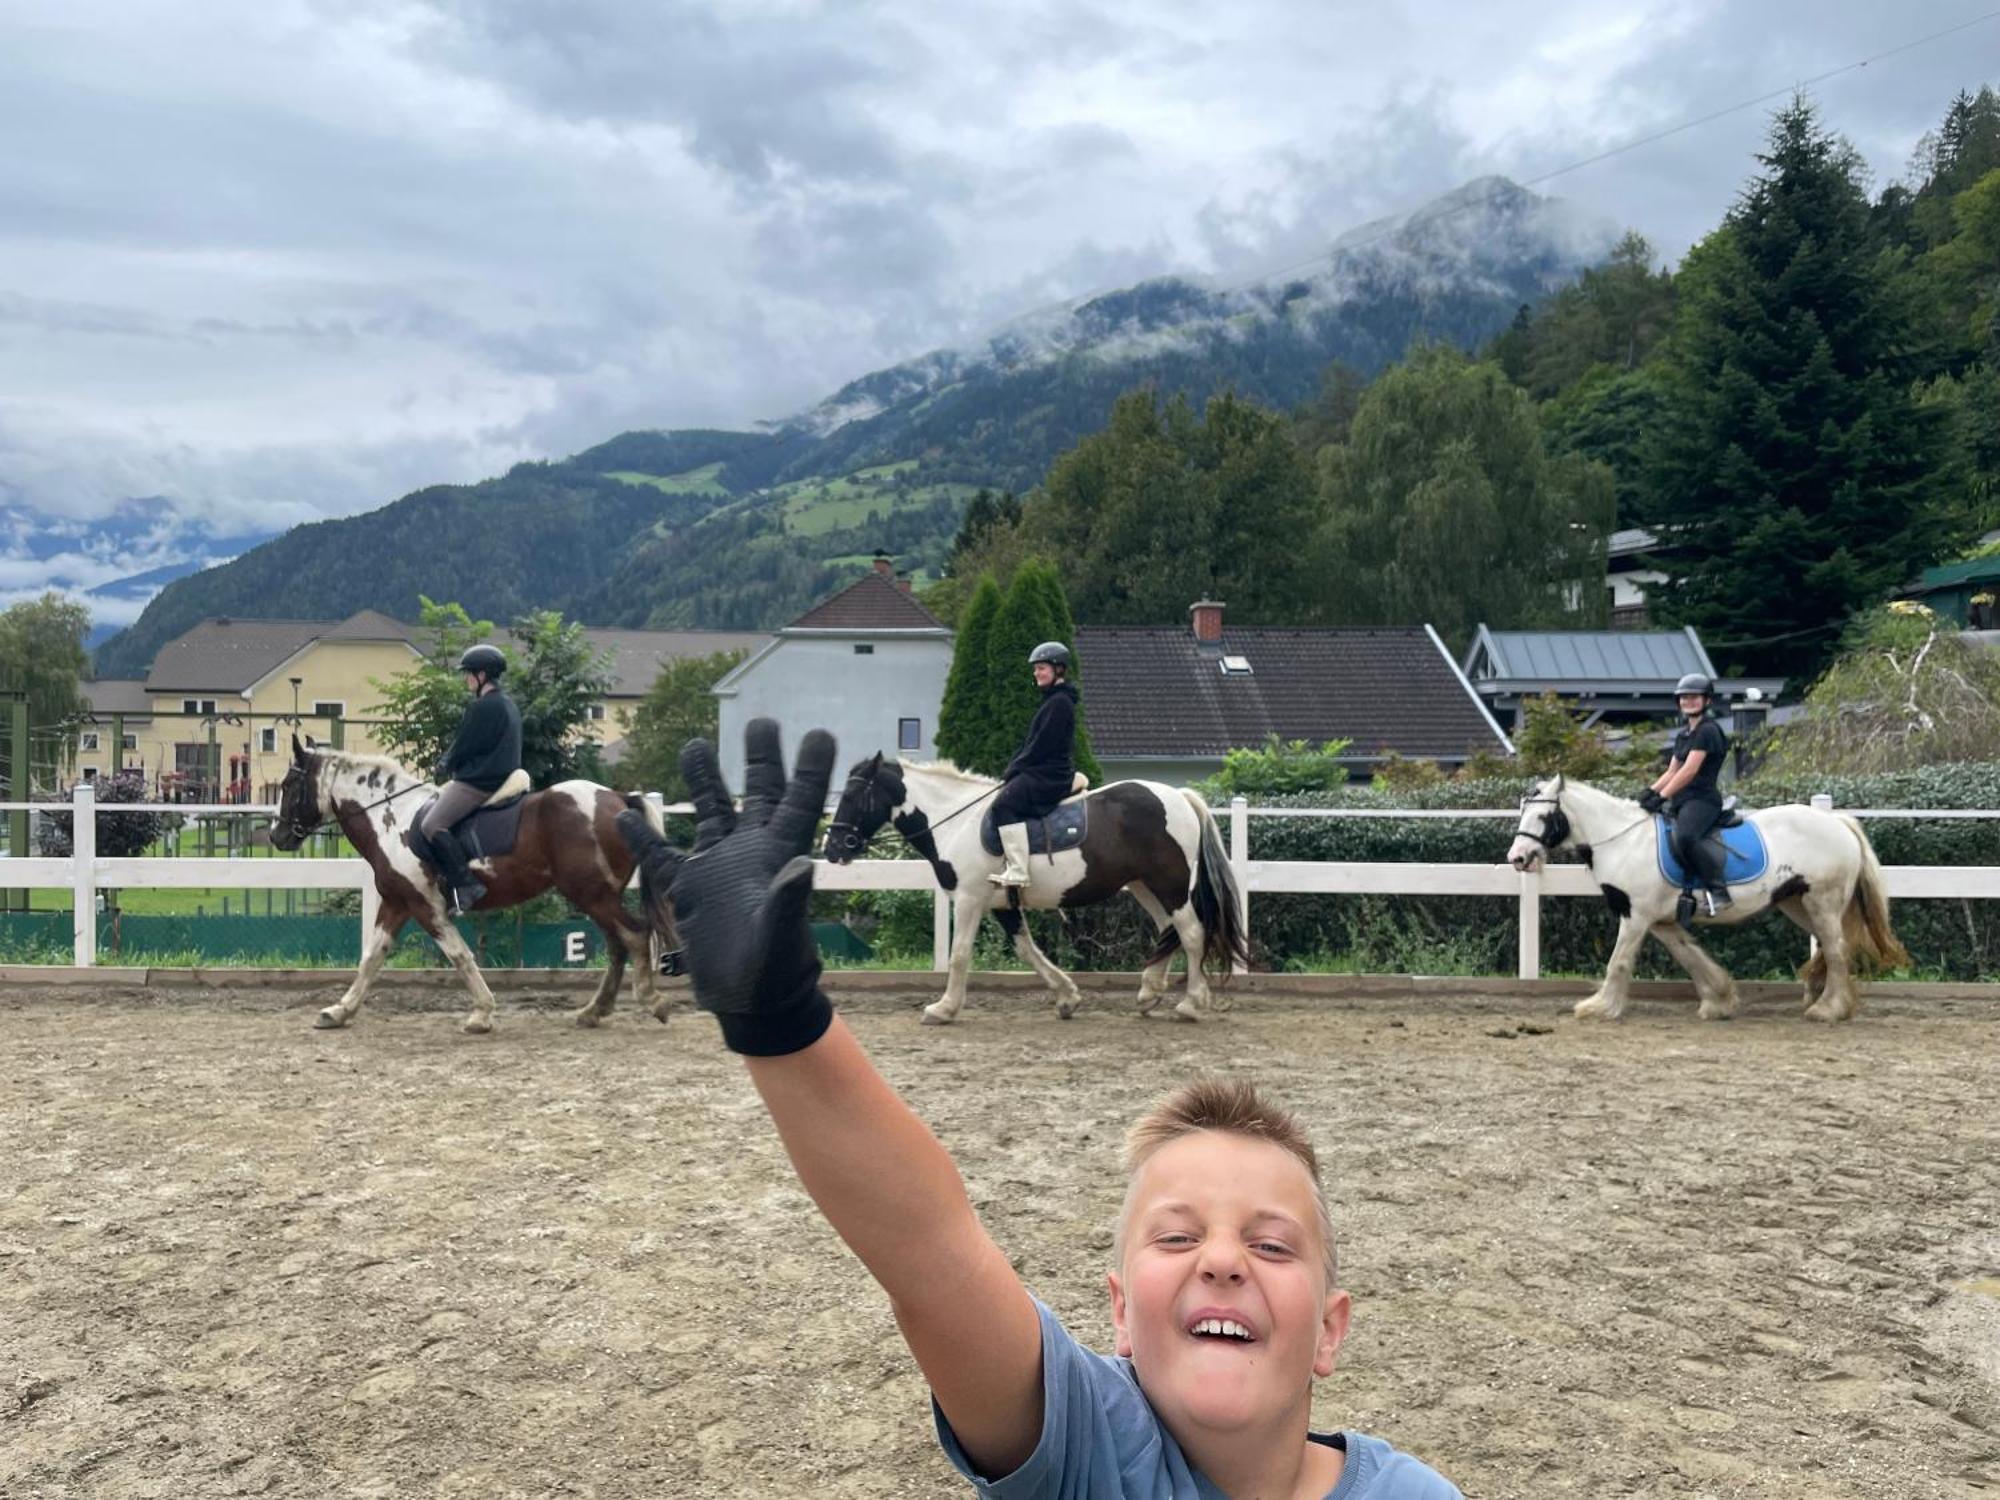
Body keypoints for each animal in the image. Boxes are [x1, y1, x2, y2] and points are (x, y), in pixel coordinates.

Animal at [820, 756, 1240, 1032]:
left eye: (854, 794)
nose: (833, 847)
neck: (957, 821)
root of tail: (1180, 797)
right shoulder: (1001, 903)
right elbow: (1027, 950)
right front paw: (1067, 997)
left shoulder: (970, 898)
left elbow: (960, 955)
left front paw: (944, 1008)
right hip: (1143, 886)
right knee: (1167, 930)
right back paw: (1149, 992)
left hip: (1169, 884)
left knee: (1190, 933)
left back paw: (1190, 1004)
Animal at [1504, 780, 1912, 1032]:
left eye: (1543, 816)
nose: (1518, 858)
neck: (1623, 841)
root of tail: (1835, 820)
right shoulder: (1660, 920)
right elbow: (1690, 955)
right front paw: (1719, 1000)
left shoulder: (1636, 915)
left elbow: (1618, 961)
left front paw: (1600, 1006)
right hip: (1797, 903)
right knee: (1829, 946)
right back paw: (1818, 996)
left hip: (1822, 900)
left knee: (1838, 948)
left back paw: (1829, 1009)